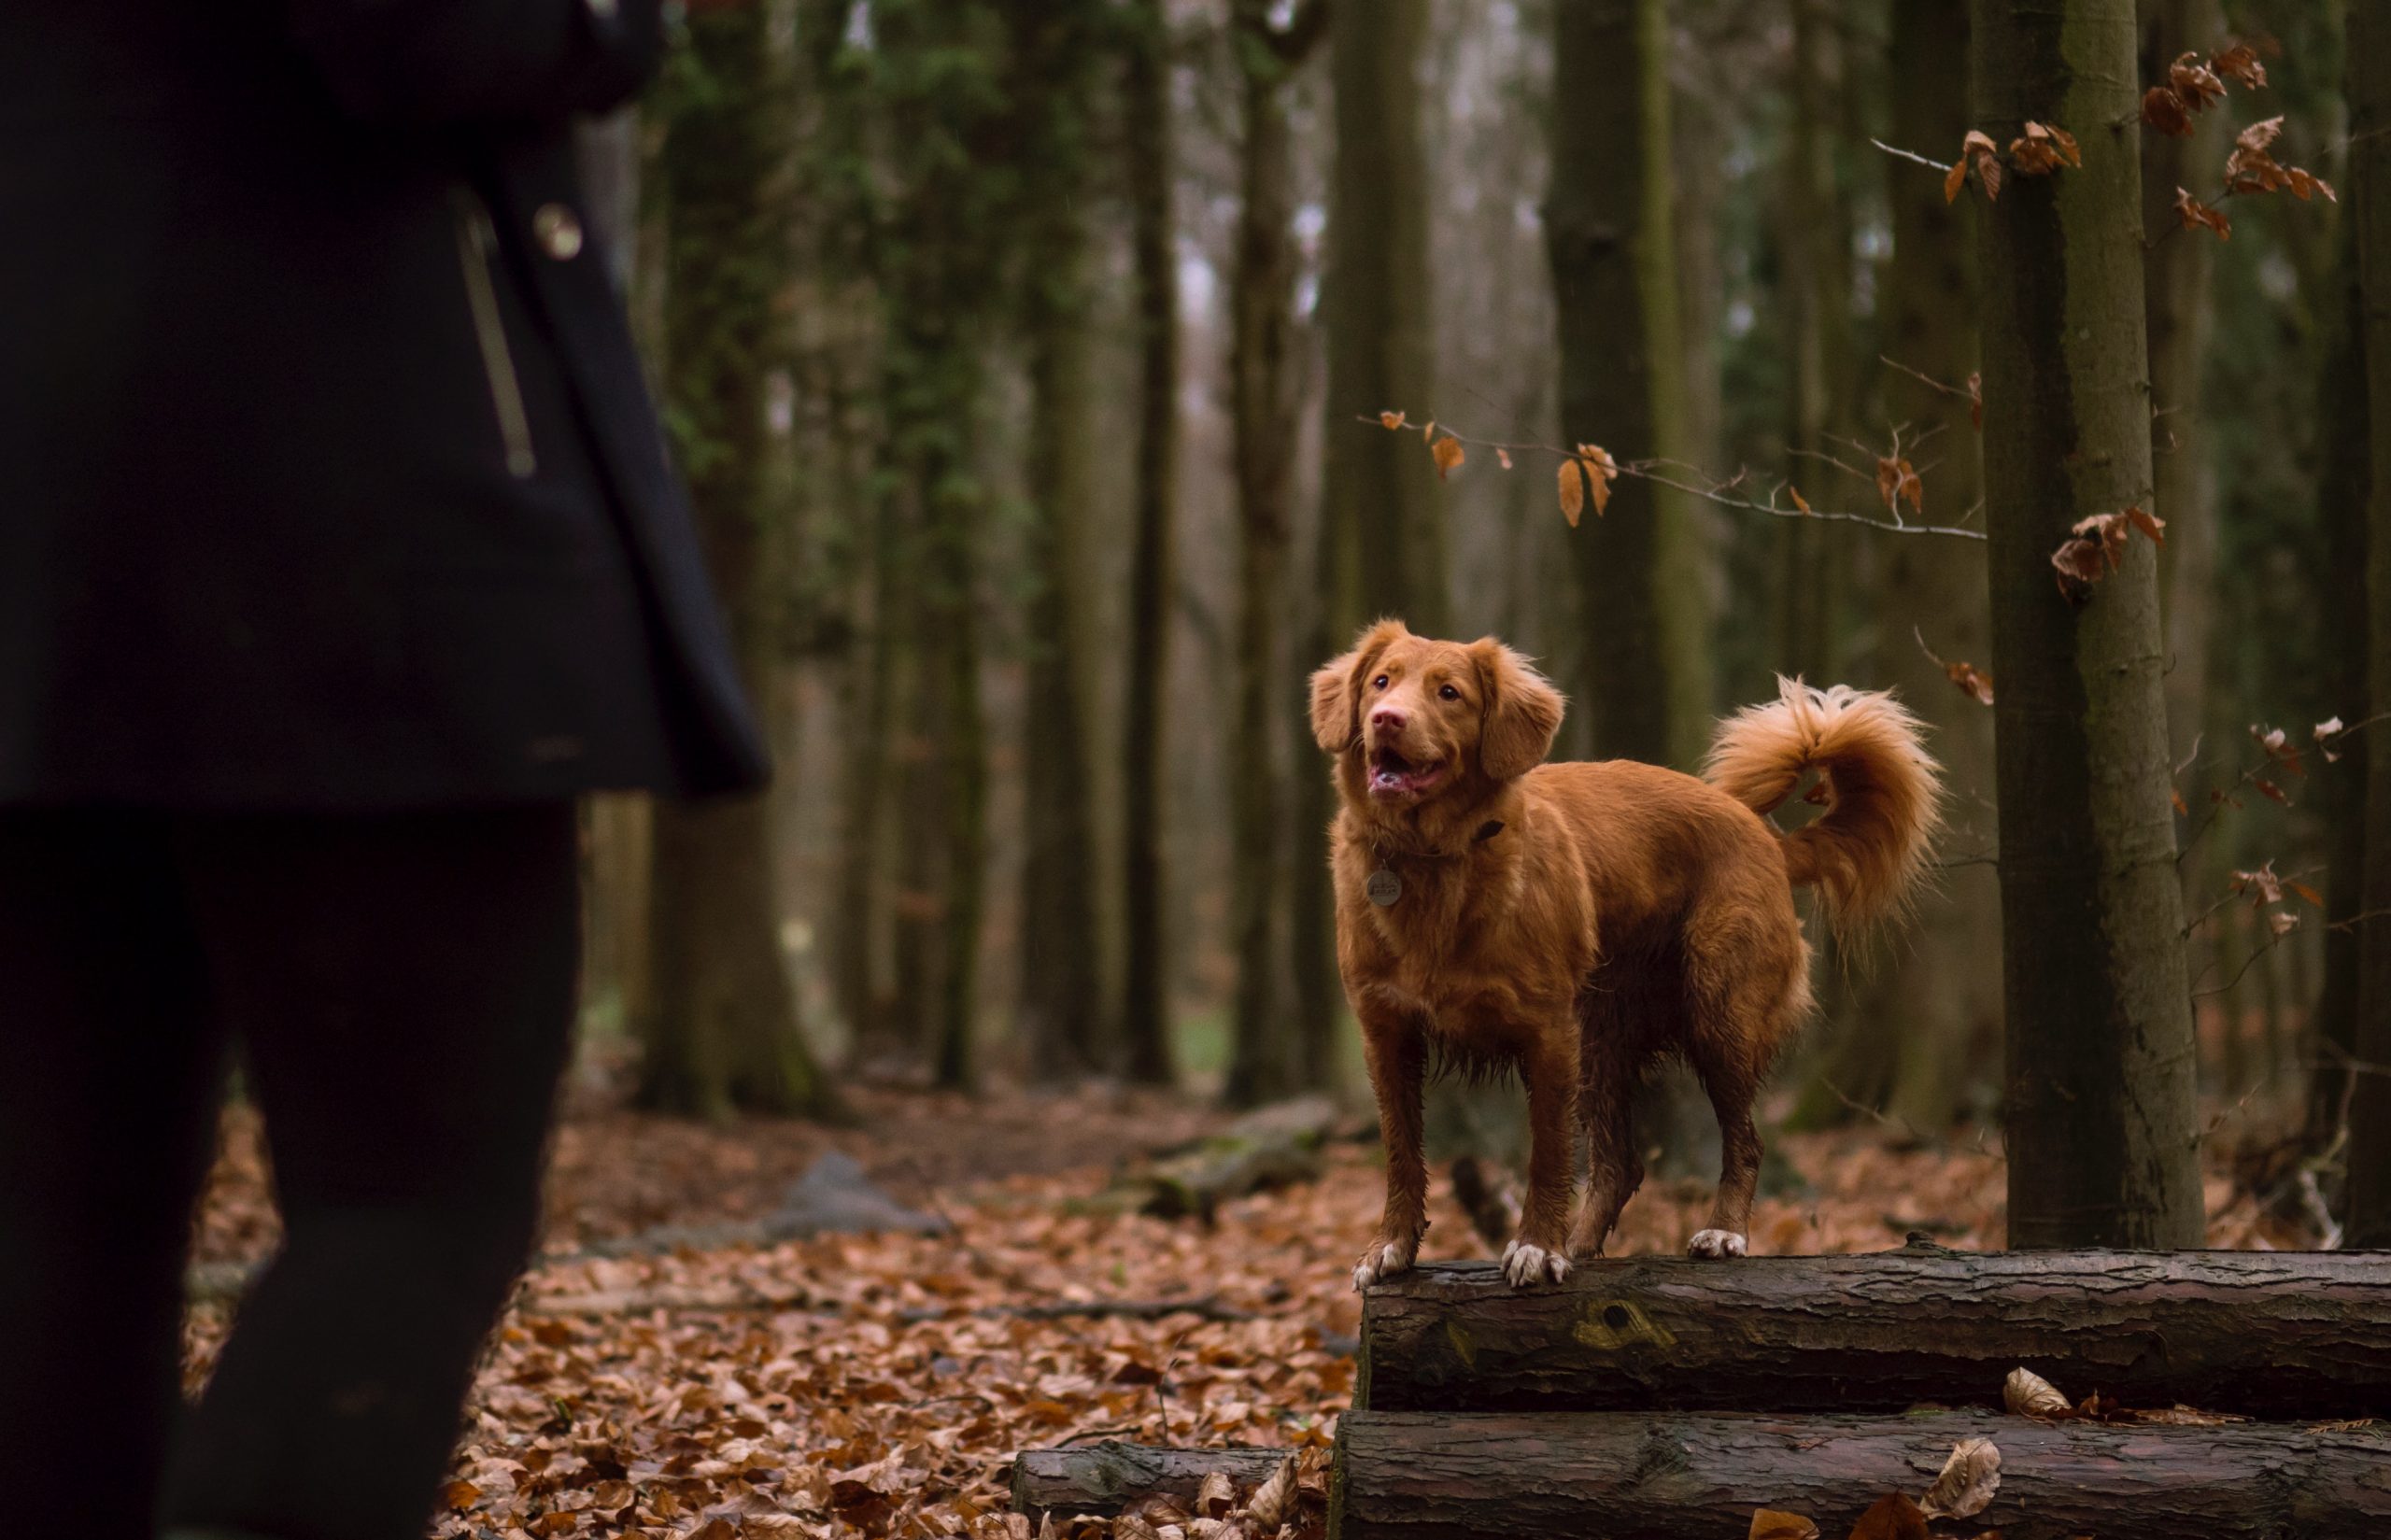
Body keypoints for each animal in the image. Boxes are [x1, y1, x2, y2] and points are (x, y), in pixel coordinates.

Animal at [1309, 621, 1941, 1281]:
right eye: (1382, 682)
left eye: (1449, 693)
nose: (1386, 719)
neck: (1432, 860)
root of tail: (1763, 833)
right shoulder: (1386, 1033)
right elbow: (1401, 1152)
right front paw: (1392, 1245)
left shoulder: (1547, 1032)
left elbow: (1547, 1153)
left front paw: (1537, 1246)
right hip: (1603, 1038)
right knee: (1621, 1162)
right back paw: (1582, 1246)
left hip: (1717, 1014)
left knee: (1745, 1140)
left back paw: (1723, 1232)